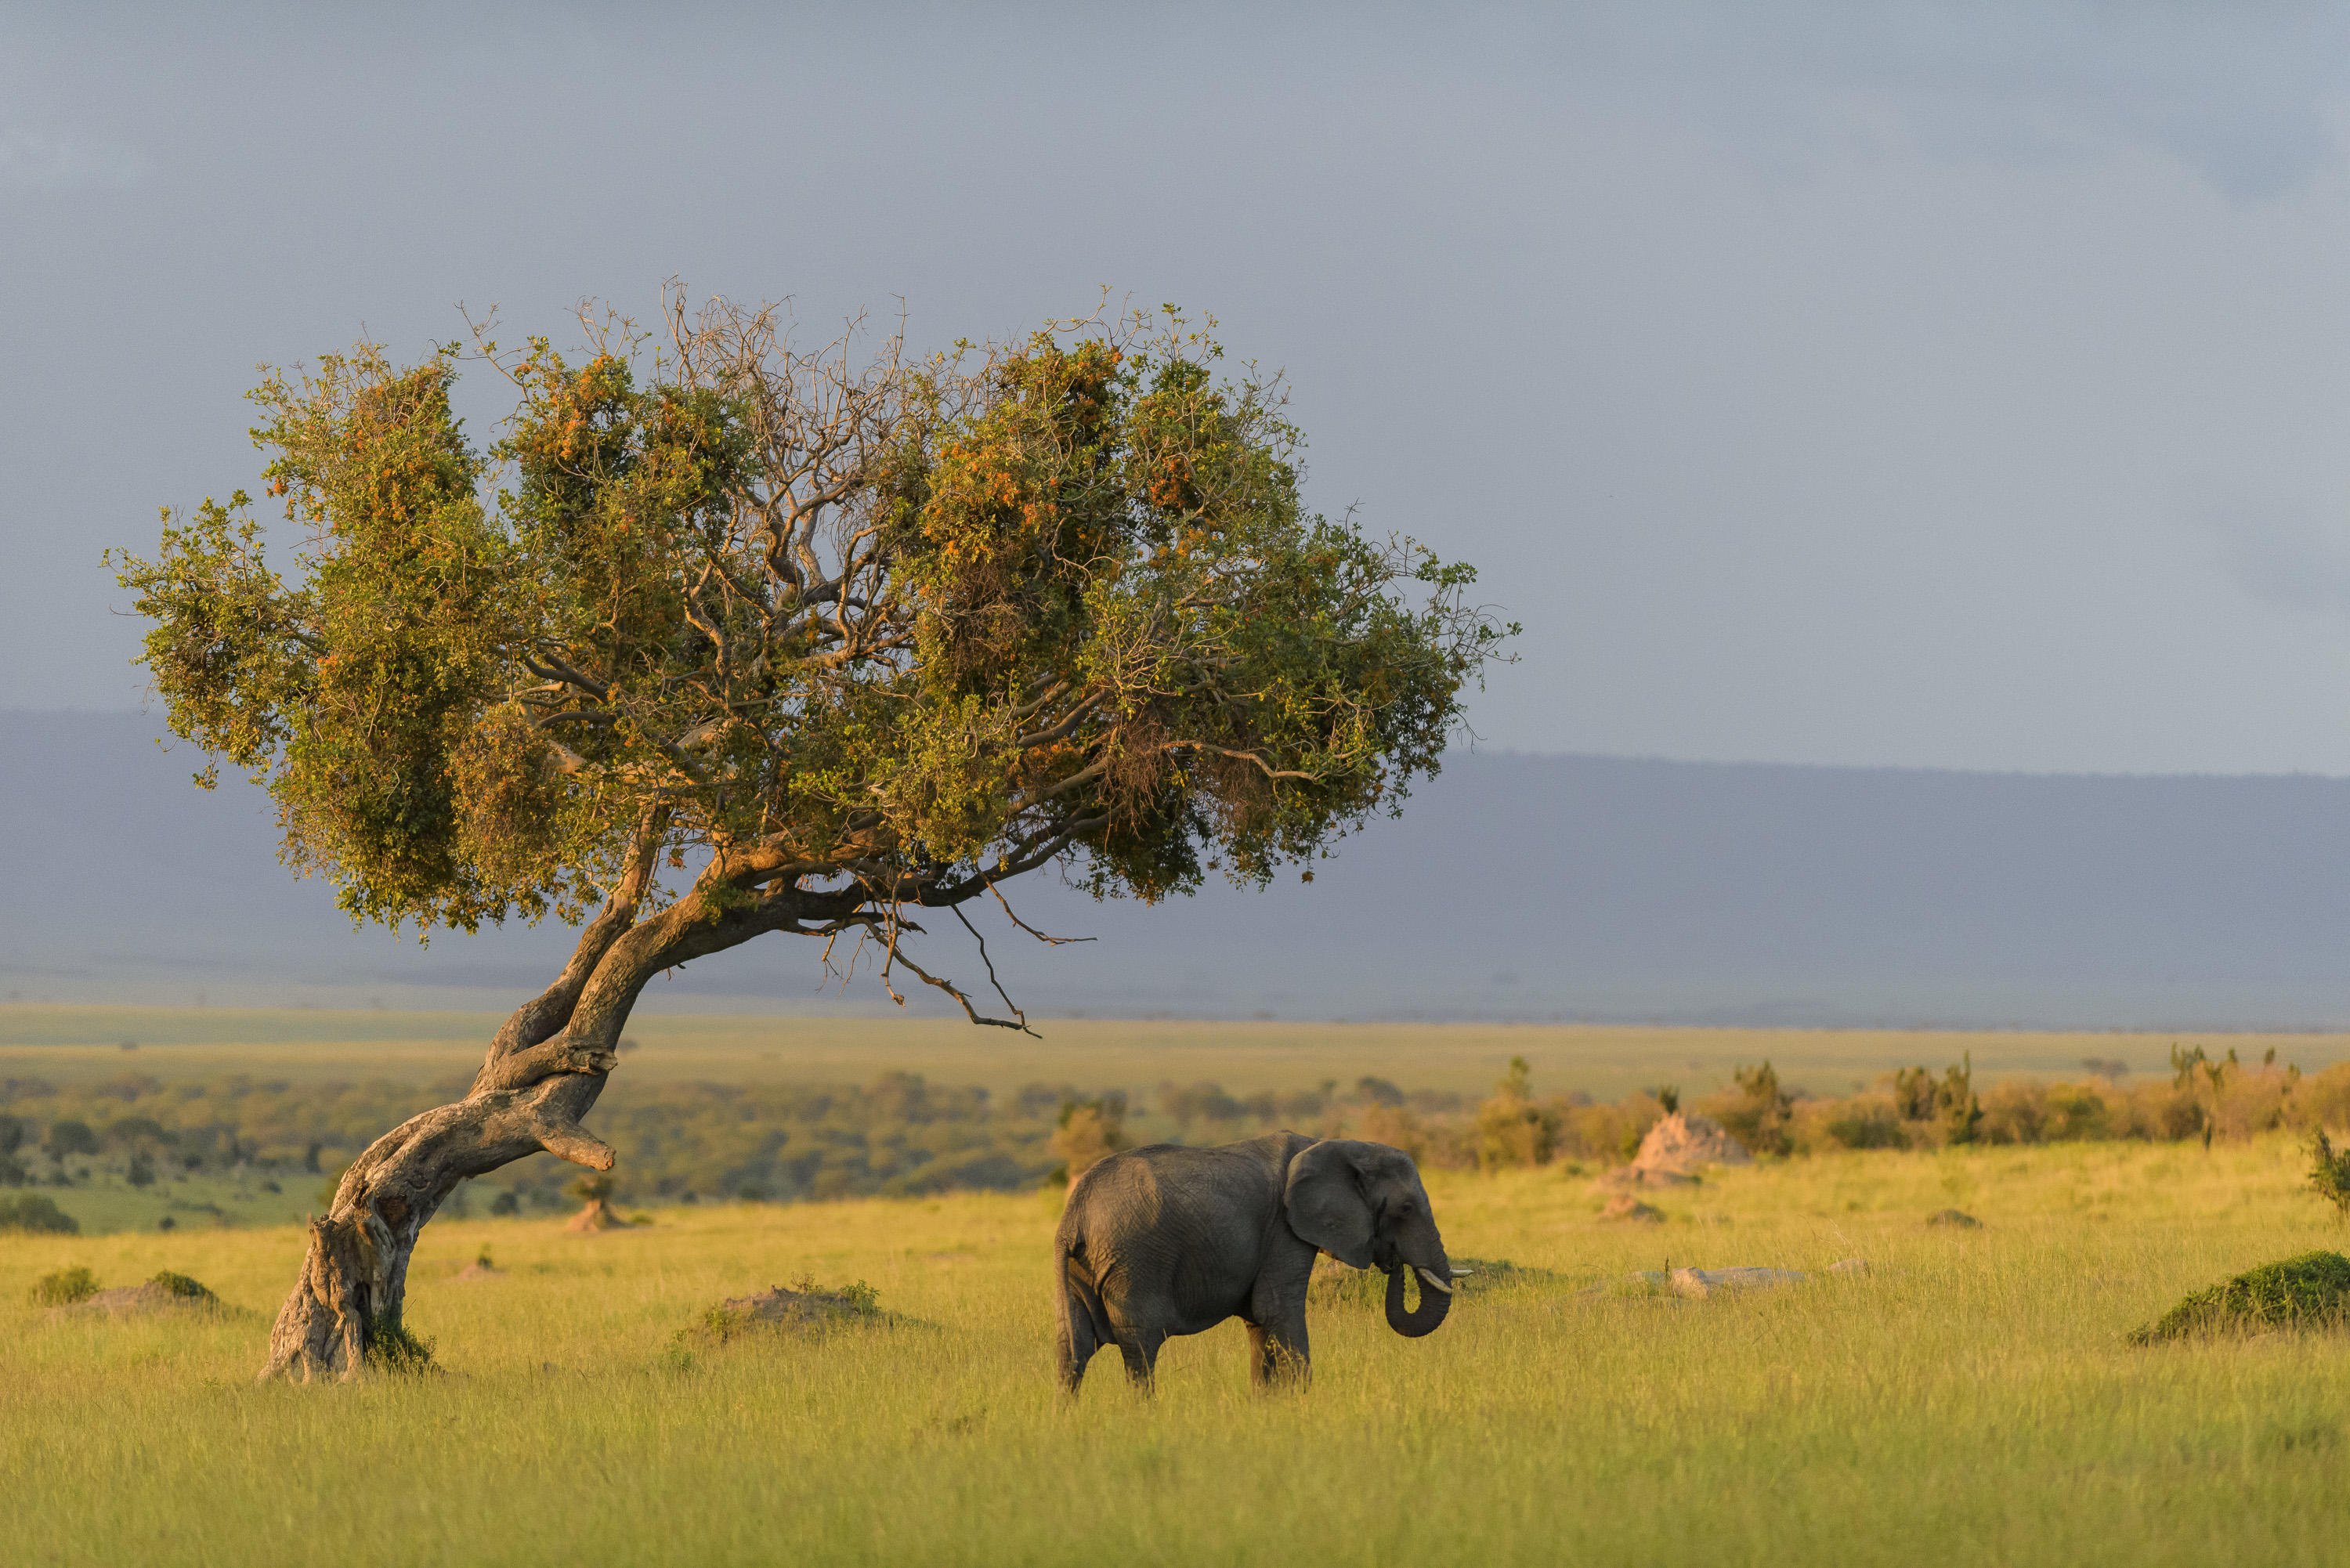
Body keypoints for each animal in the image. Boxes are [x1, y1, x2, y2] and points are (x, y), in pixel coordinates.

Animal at [1053, 1131, 1455, 1393]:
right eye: (1405, 1209)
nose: (1393, 1261)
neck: (1338, 1144)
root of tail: (1074, 1216)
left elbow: (1260, 1324)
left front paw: (1268, 1407)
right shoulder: (1285, 1230)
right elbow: (1277, 1310)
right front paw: (1302, 1405)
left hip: (1080, 1270)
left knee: (1072, 1352)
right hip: (1136, 1263)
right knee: (1141, 1350)